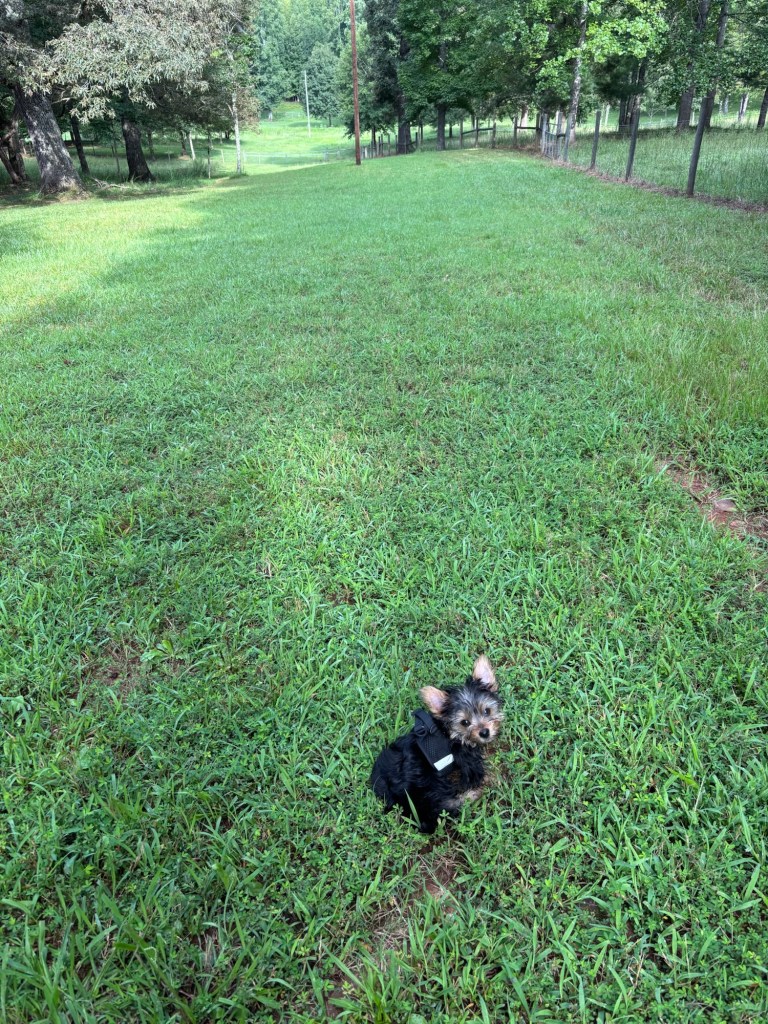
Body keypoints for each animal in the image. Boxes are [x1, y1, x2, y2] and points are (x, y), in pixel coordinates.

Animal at [369, 656, 502, 833]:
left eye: (487, 711)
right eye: (465, 722)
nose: (484, 732)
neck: (449, 733)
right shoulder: (469, 763)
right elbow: (479, 775)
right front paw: (492, 780)